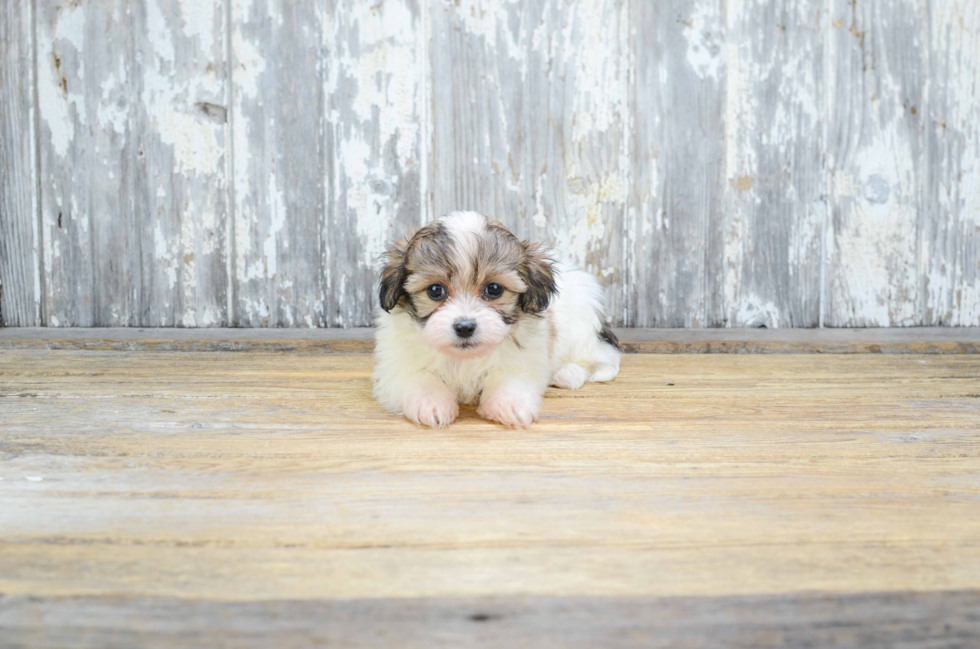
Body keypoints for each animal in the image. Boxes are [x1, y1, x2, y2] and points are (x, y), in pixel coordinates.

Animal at [374, 210, 620, 428]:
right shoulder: (399, 362)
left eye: (493, 289)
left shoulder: (525, 355)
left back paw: (567, 373)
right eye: (435, 290)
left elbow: (509, 377)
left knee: (603, 359)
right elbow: (418, 377)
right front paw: (431, 403)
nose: (465, 327)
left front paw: (510, 405)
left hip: (582, 325)